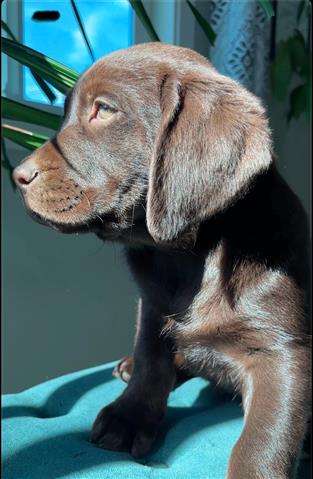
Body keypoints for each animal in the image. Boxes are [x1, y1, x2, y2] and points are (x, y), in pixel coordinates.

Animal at [12, 43, 310, 478]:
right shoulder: (151, 306)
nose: (17, 176)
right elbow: (152, 360)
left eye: (104, 109)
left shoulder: (281, 351)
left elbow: (264, 438)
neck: (187, 257)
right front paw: (130, 417)